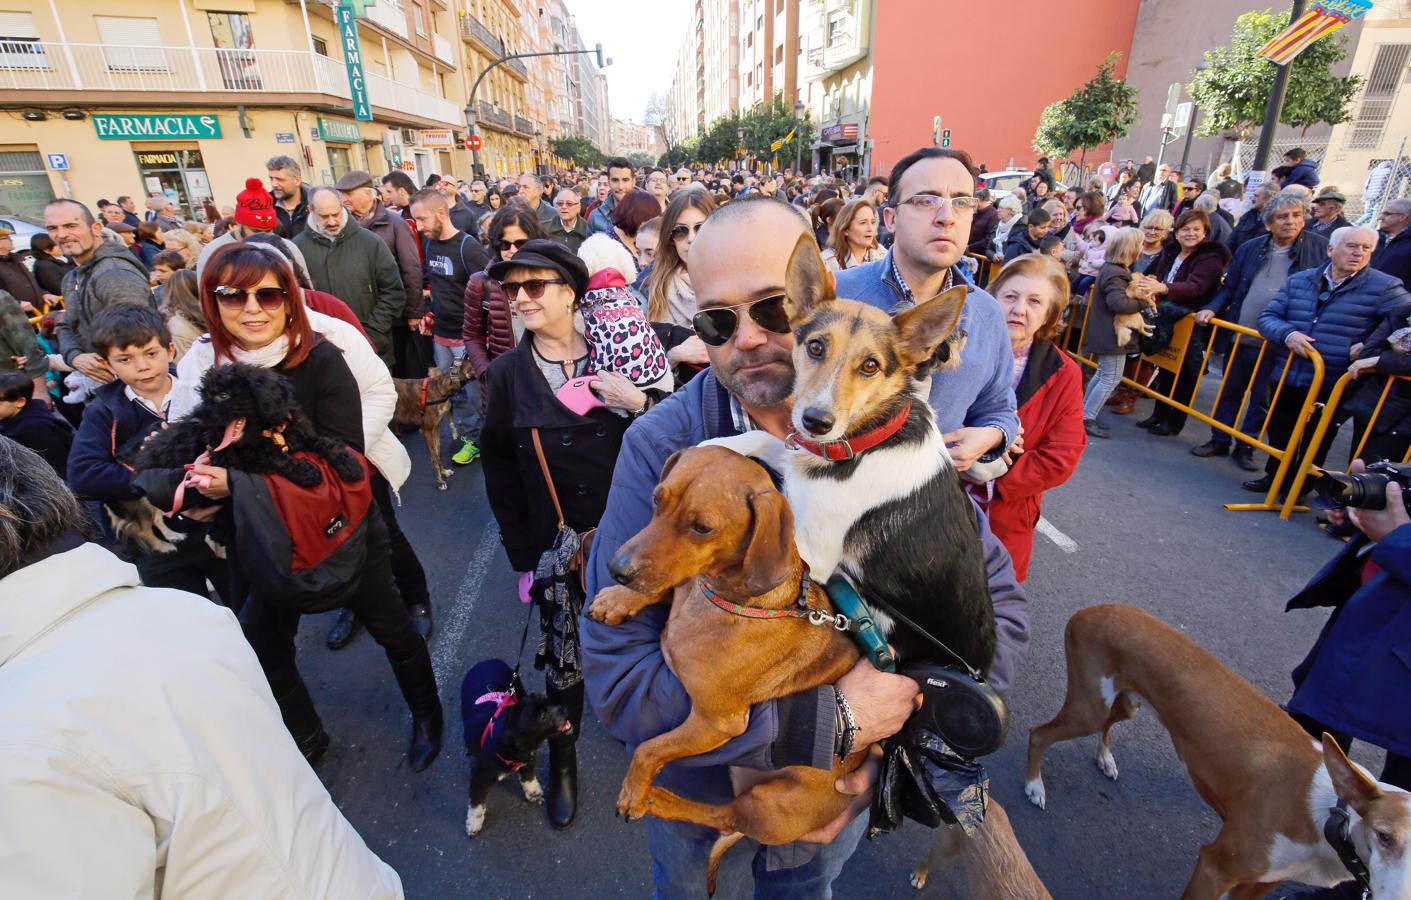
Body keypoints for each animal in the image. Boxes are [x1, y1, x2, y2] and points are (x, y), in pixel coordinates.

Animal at [137, 363, 364, 490]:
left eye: (223, 395)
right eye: (204, 397)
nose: (195, 421)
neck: (268, 430)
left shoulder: (303, 433)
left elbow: (327, 443)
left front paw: (350, 465)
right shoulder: (229, 456)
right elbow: (274, 457)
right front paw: (305, 471)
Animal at [462, 654, 572, 840]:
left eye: (549, 703)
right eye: (542, 716)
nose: (565, 708)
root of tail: (487, 661)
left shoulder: (527, 759)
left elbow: (528, 778)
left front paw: (533, 794)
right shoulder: (479, 776)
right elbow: (476, 805)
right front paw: (474, 825)